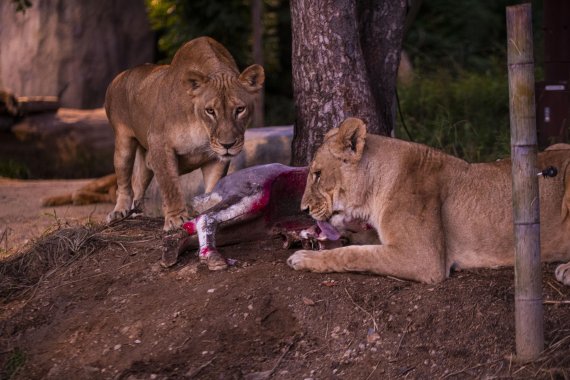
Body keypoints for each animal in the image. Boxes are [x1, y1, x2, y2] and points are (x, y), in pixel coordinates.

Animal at [105, 37, 264, 230]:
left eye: (240, 109)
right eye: (210, 111)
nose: (228, 145)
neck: (201, 127)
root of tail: (119, 76)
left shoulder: (215, 157)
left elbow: (213, 187)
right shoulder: (160, 144)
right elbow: (170, 185)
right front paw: (175, 220)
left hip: (146, 158)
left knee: (139, 180)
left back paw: (137, 211)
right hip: (124, 143)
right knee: (123, 182)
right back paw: (119, 212)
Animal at [286, 116, 568, 284]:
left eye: (317, 174)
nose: (303, 208)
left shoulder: (424, 258)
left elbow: (353, 255)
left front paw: (304, 258)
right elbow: (361, 241)